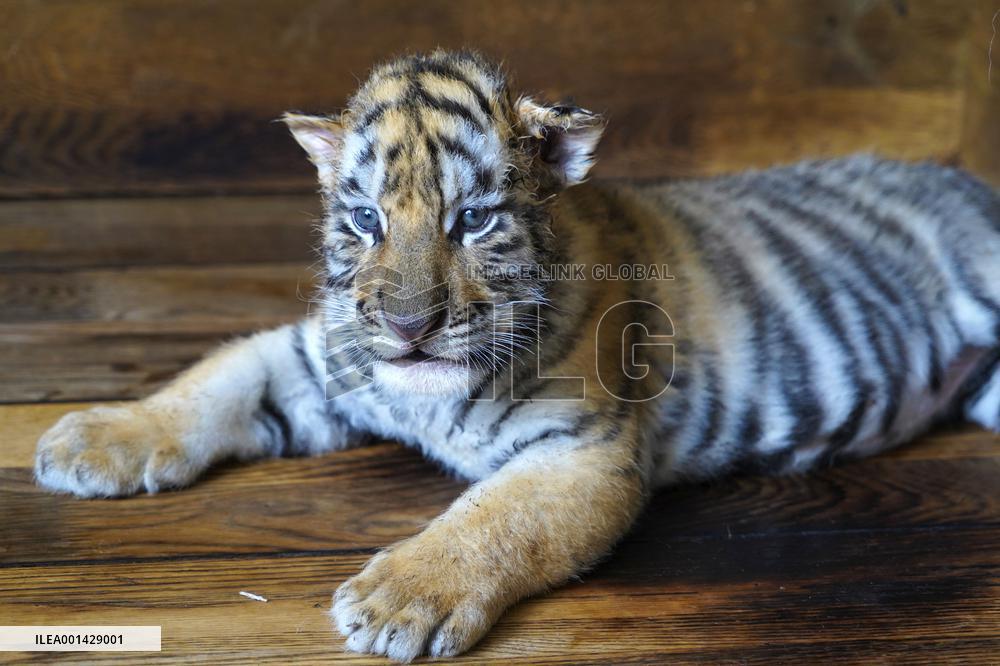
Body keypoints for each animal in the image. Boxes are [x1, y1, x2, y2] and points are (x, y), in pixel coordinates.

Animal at [35, 50, 1000, 661]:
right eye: (365, 220)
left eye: (472, 220)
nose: (410, 328)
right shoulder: (318, 360)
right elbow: (211, 380)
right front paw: (93, 438)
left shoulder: (583, 453)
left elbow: (494, 520)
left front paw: (399, 598)